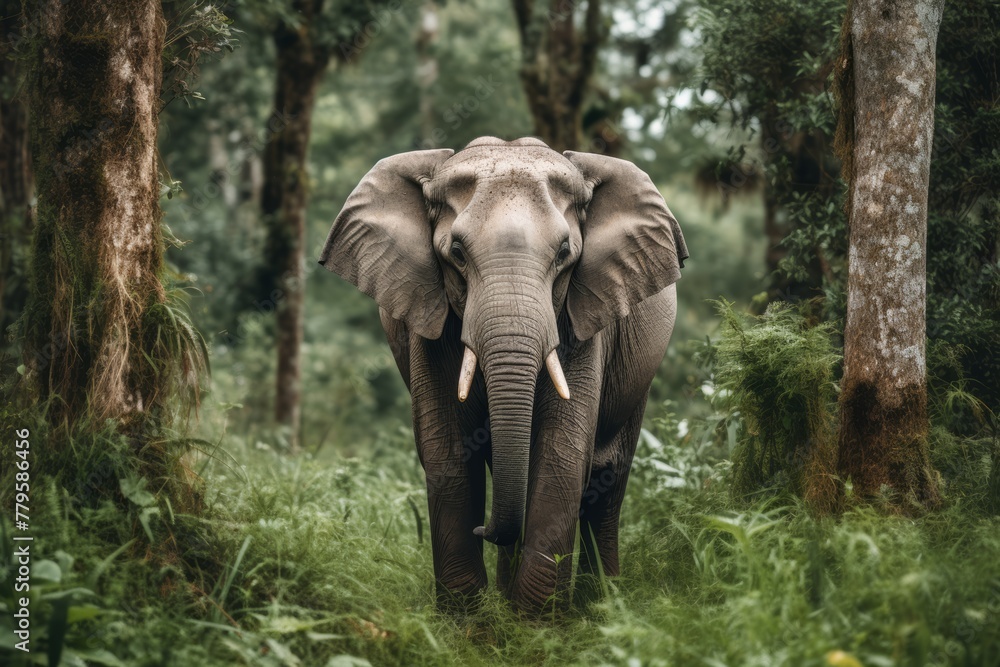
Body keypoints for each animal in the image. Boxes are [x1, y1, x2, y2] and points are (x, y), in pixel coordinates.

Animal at [318, 136, 688, 613]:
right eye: (456, 253)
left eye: (565, 254)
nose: (485, 529)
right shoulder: (430, 318)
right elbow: (446, 448)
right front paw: (468, 617)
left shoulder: (582, 318)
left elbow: (563, 453)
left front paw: (536, 619)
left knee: (608, 479)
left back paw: (601, 603)